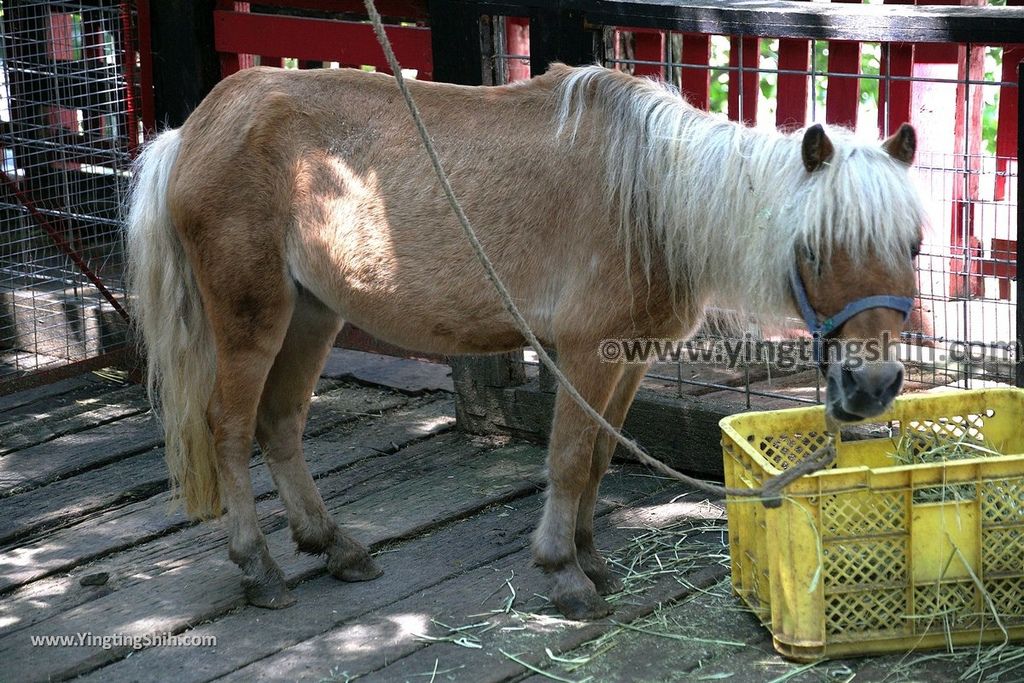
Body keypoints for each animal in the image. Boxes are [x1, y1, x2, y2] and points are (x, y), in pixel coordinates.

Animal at [123, 62, 925, 618]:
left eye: (913, 245)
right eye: (814, 247)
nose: (872, 386)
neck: (653, 199)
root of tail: (191, 131)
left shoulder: (628, 360)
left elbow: (598, 459)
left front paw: (591, 558)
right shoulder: (584, 354)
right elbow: (568, 460)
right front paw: (563, 572)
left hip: (312, 315)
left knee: (280, 424)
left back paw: (335, 545)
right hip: (251, 319)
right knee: (229, 430)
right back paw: (258, 567)